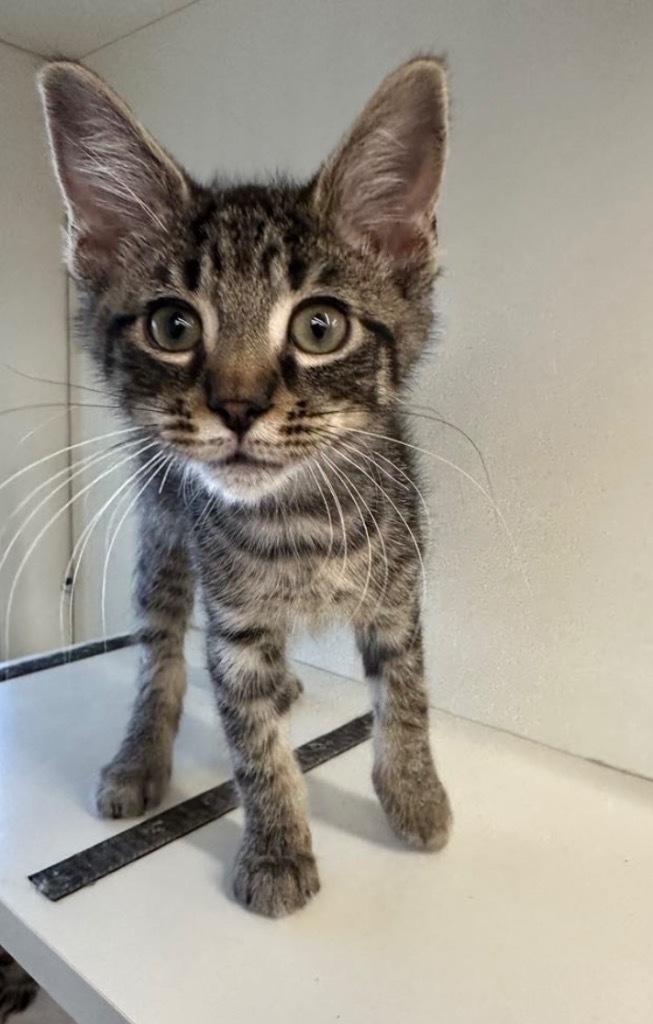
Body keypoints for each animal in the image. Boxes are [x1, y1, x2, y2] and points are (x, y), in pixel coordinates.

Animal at [37, 56, 454, 921]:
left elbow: (406, 692)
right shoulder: (230, 622)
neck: (299, 519)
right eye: (172, 326)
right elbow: (252, 743)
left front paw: (413, 794)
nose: (236, 406)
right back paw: (140, 754)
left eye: (320, 327)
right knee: (158, 648)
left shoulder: (399, 591)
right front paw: (276, 848)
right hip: (164, 529)